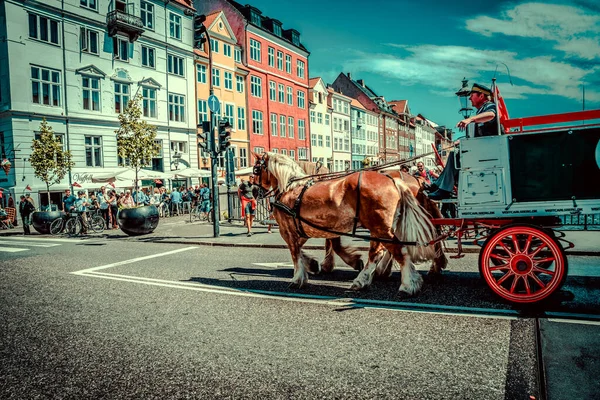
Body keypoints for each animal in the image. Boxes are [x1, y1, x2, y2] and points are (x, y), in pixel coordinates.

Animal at [253, 152, 436, 296]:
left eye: (256, 170)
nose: (254, 191)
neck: (290, 189)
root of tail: (392, 180)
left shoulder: (288, 230)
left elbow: (295, 253)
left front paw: (298, 278)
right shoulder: (308, 228)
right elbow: (308, 249)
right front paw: (313, 265)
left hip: (381, 228)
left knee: (398, 251)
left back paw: (408, 285)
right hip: (379, 228)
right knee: (376, 253)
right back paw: (363, 281)